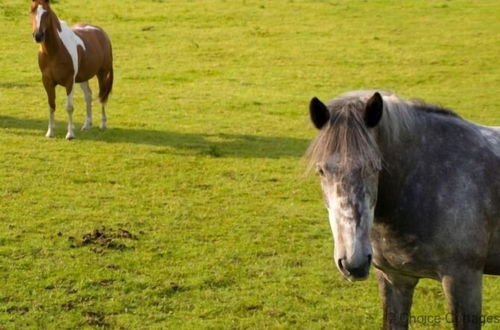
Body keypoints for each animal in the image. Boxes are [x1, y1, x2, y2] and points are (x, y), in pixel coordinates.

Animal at [31, 0, 113, 139]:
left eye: (46, 12)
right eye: (32, 11)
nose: (38, 35)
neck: (55, 51)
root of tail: (101, 32)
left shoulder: (69, 82)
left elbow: (69, 107)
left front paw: (70, 134)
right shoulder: (47, 82)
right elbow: (51, 105)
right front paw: (50, 132)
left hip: (102, 73)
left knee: (102, 96)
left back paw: (103, 124)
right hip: (83, 78)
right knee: (88, 96)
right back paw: (87, 125)